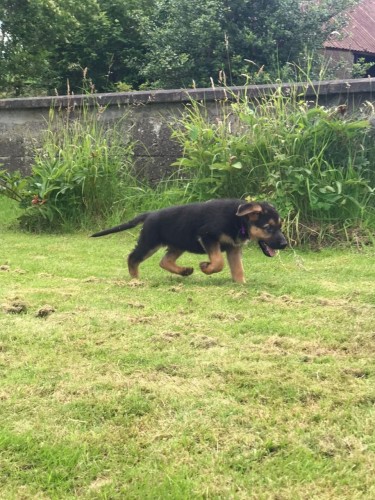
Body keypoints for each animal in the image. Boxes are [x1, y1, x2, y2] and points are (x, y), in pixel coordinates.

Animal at [91, 200, 288, 286]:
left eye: (280, 226)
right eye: (268, 228)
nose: (284, 244)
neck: (238, 220)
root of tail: (150, 214)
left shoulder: (233, 248)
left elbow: (238, 269)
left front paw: (241, 284)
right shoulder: (208, 236)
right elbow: (218, 262)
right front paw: (205, 267)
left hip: (179, 244)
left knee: (165, 261)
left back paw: (184, 271)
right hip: (150, 242)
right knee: (132, 257)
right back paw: (135, 279)